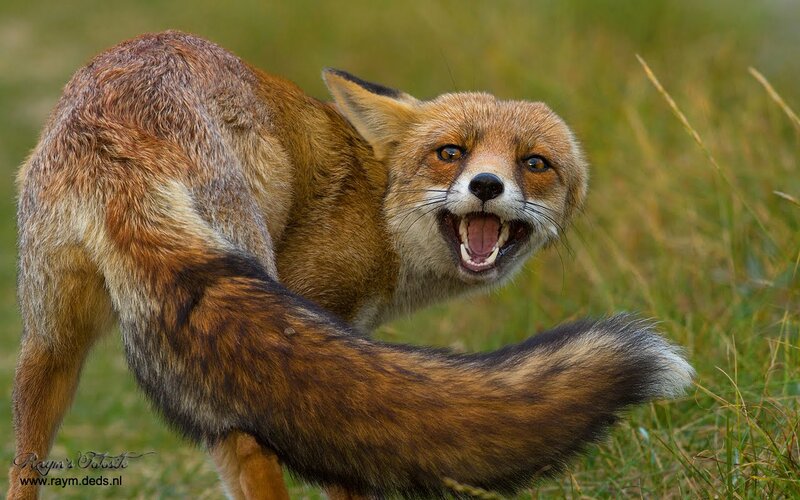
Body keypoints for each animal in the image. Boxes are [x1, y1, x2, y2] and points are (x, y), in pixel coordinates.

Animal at [9, 30, 693, 499]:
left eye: (535, 163)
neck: (378, 203)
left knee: (26, 454)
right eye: (451, 153)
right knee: (251, 446)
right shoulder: (321, 309)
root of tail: (115, 138)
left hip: (52, 343)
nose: (487, 186)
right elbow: (347, 464)